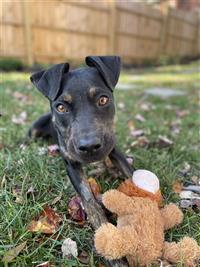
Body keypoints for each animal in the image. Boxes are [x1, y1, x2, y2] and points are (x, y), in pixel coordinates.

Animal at [28, 56, 134, 232]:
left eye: (103, 99)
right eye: (61, 107)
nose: (90, 147)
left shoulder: (113, 148)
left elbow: (131, 172)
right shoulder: (71, 163)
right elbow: (87, 197)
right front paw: (103, 227)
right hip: (34, 130)